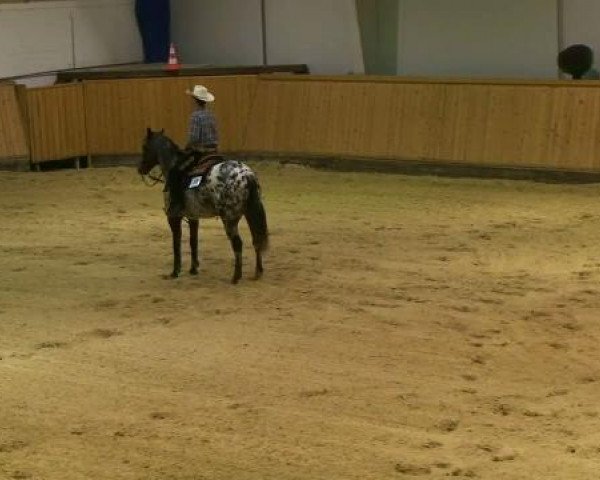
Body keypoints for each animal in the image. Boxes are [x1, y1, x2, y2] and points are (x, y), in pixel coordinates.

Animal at [137, 128, 268, 284]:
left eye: (145, 147)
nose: (140, 169)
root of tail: (247, 175)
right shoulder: (193, 217)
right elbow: (193, 242)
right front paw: (193, 269)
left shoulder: (173, 217)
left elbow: (176, 243)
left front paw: (175, 272)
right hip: (250, 214)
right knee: (257, 240)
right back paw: (258, 272)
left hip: (229, 220)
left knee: (238, 244)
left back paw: (236, 277)